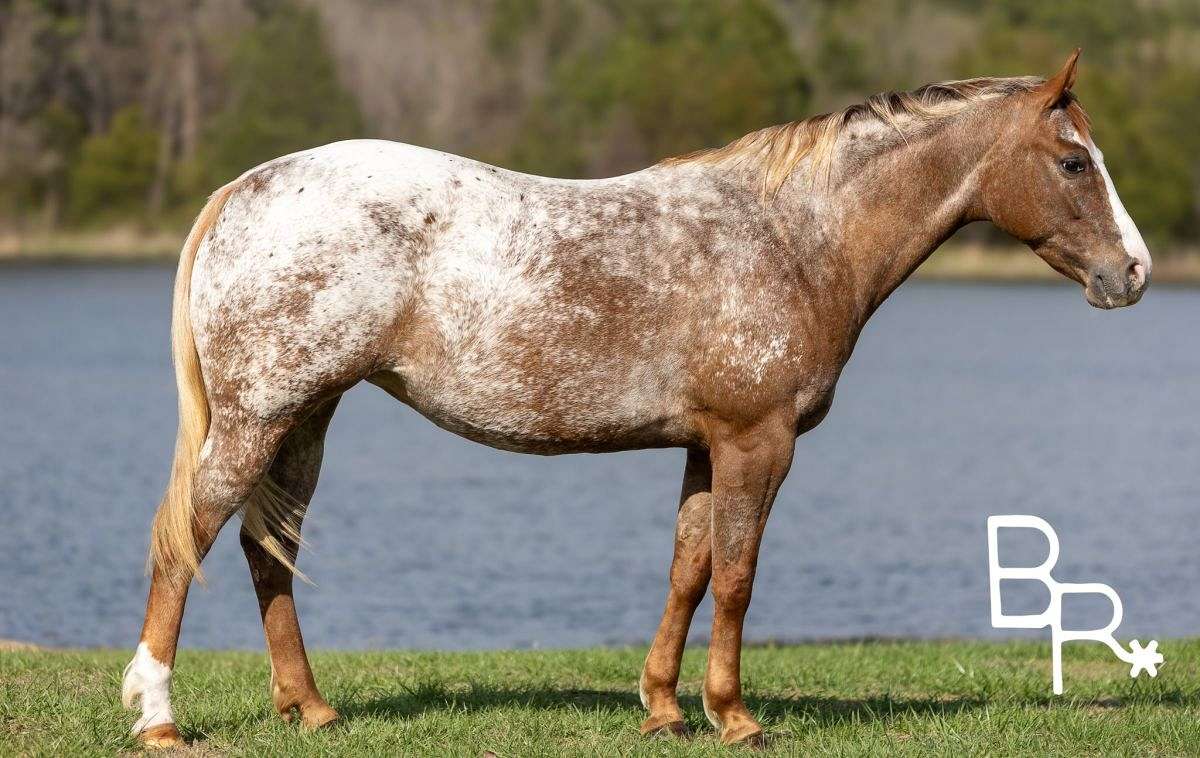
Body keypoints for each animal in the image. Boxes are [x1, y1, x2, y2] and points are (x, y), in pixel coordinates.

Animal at [122, 50, 1150, 747]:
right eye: (1074, 163)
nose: (1134, 273)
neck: (795, 237)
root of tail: (246, 187)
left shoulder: (706, 445)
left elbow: (688, 569)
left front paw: (662, 707)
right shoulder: (758, 442)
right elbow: (736, 576)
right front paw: (735, 715)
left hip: (306, 418)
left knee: (269, 550)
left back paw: (310, 708)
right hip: (260, 418)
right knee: (188, 540)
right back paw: (159, 716)